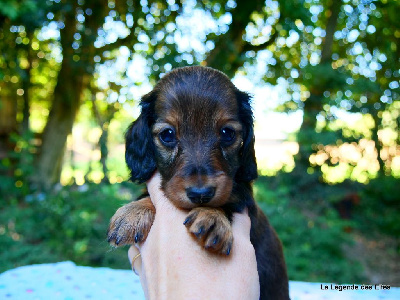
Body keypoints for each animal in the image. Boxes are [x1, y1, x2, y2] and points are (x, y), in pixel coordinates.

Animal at [108, 66, 290, 300]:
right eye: (167, 134)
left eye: (227, 133)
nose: (201, 194)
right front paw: (133, 213)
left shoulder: (241, 194)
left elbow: (227, 202)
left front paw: (213, 217)